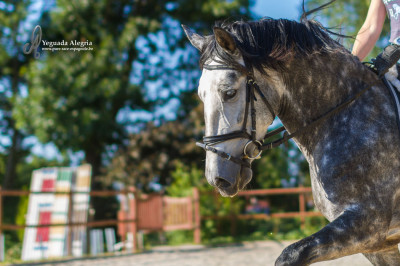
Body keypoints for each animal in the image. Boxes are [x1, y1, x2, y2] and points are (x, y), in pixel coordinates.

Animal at [184, 6, 400, 266]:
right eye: (201, 95)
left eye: (229, 93)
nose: (217, 179)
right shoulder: (378, 244)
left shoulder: (369, 222)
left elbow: (291, 254)